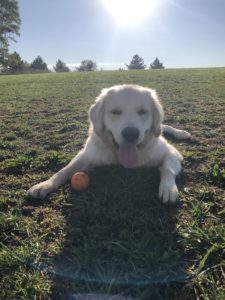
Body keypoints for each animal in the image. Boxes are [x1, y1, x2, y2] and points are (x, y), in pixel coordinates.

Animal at [27, 83, 191, 203]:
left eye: (143, 112)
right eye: (115, 112)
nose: (131, 134)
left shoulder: (171, 152)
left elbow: (167, 168)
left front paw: (168, 189)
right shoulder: (86, 155)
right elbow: (64, 170)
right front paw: (45, 185)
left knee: (164, 127)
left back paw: (182, 133)